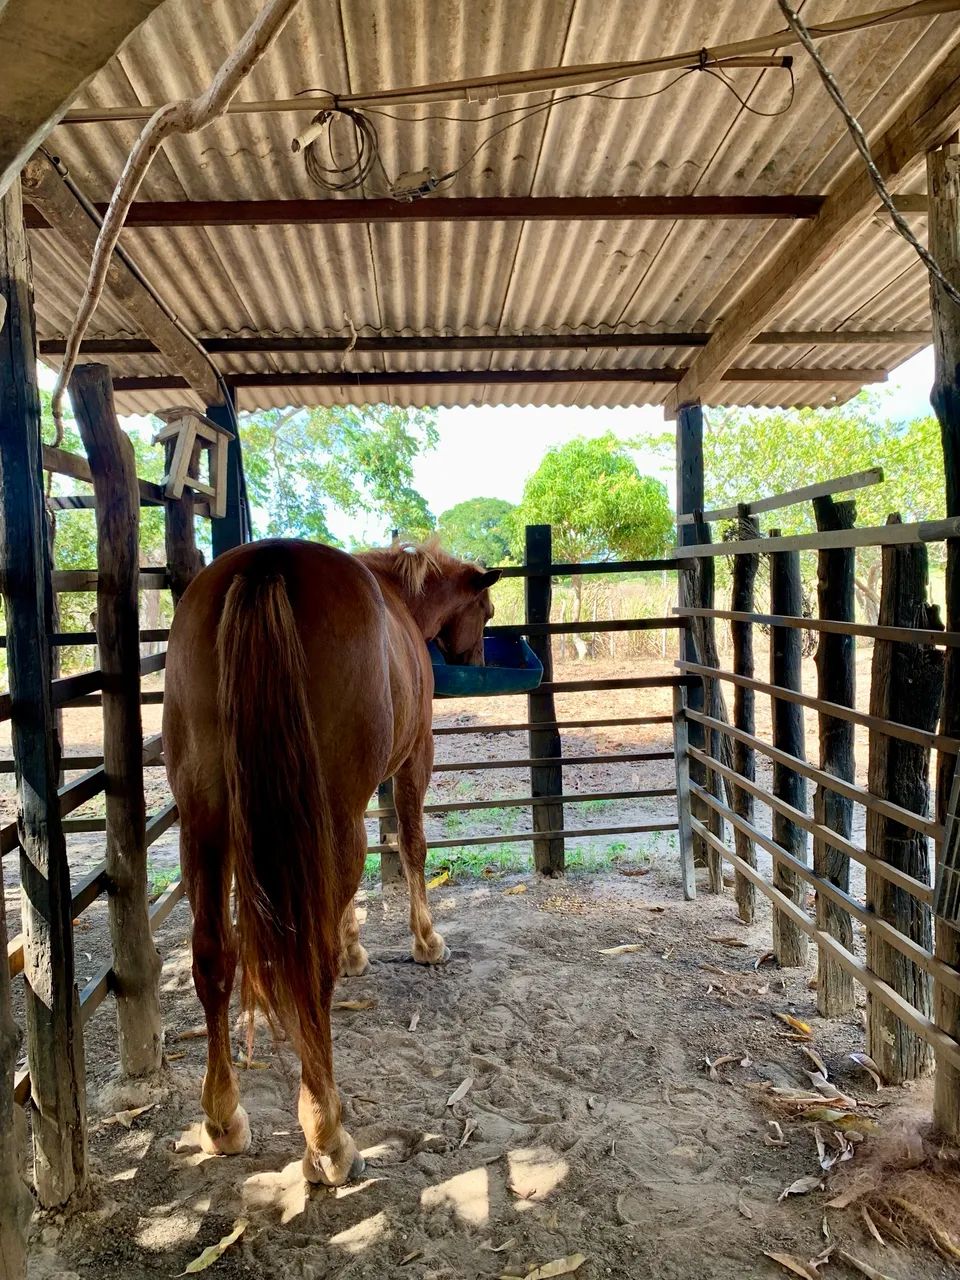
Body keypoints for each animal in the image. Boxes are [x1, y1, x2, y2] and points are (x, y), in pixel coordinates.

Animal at [162, 537, 501, 1185]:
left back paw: (223, 1118)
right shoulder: (413, 758)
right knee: (307, 964)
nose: (473, 656)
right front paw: (426, 942)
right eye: (487, 611)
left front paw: (354, 949)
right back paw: (327, 1135)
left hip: (205, 821)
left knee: (214, 956)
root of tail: (265, 566)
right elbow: (412, 845)